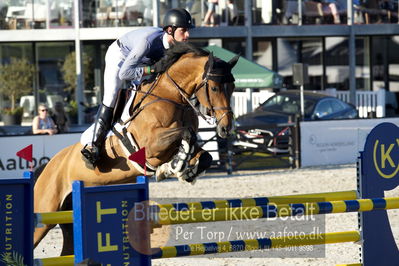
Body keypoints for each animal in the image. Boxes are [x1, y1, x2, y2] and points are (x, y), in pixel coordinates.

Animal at [33, 42, 238, 256]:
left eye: (233, 87)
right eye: (214, 87)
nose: (226, 128)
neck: (170, 96)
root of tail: (47, 167)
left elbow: (203, 154)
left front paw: (183, 171)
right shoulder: (152, 145)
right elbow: (186, 134)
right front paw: (173, 168)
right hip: (45, 216)